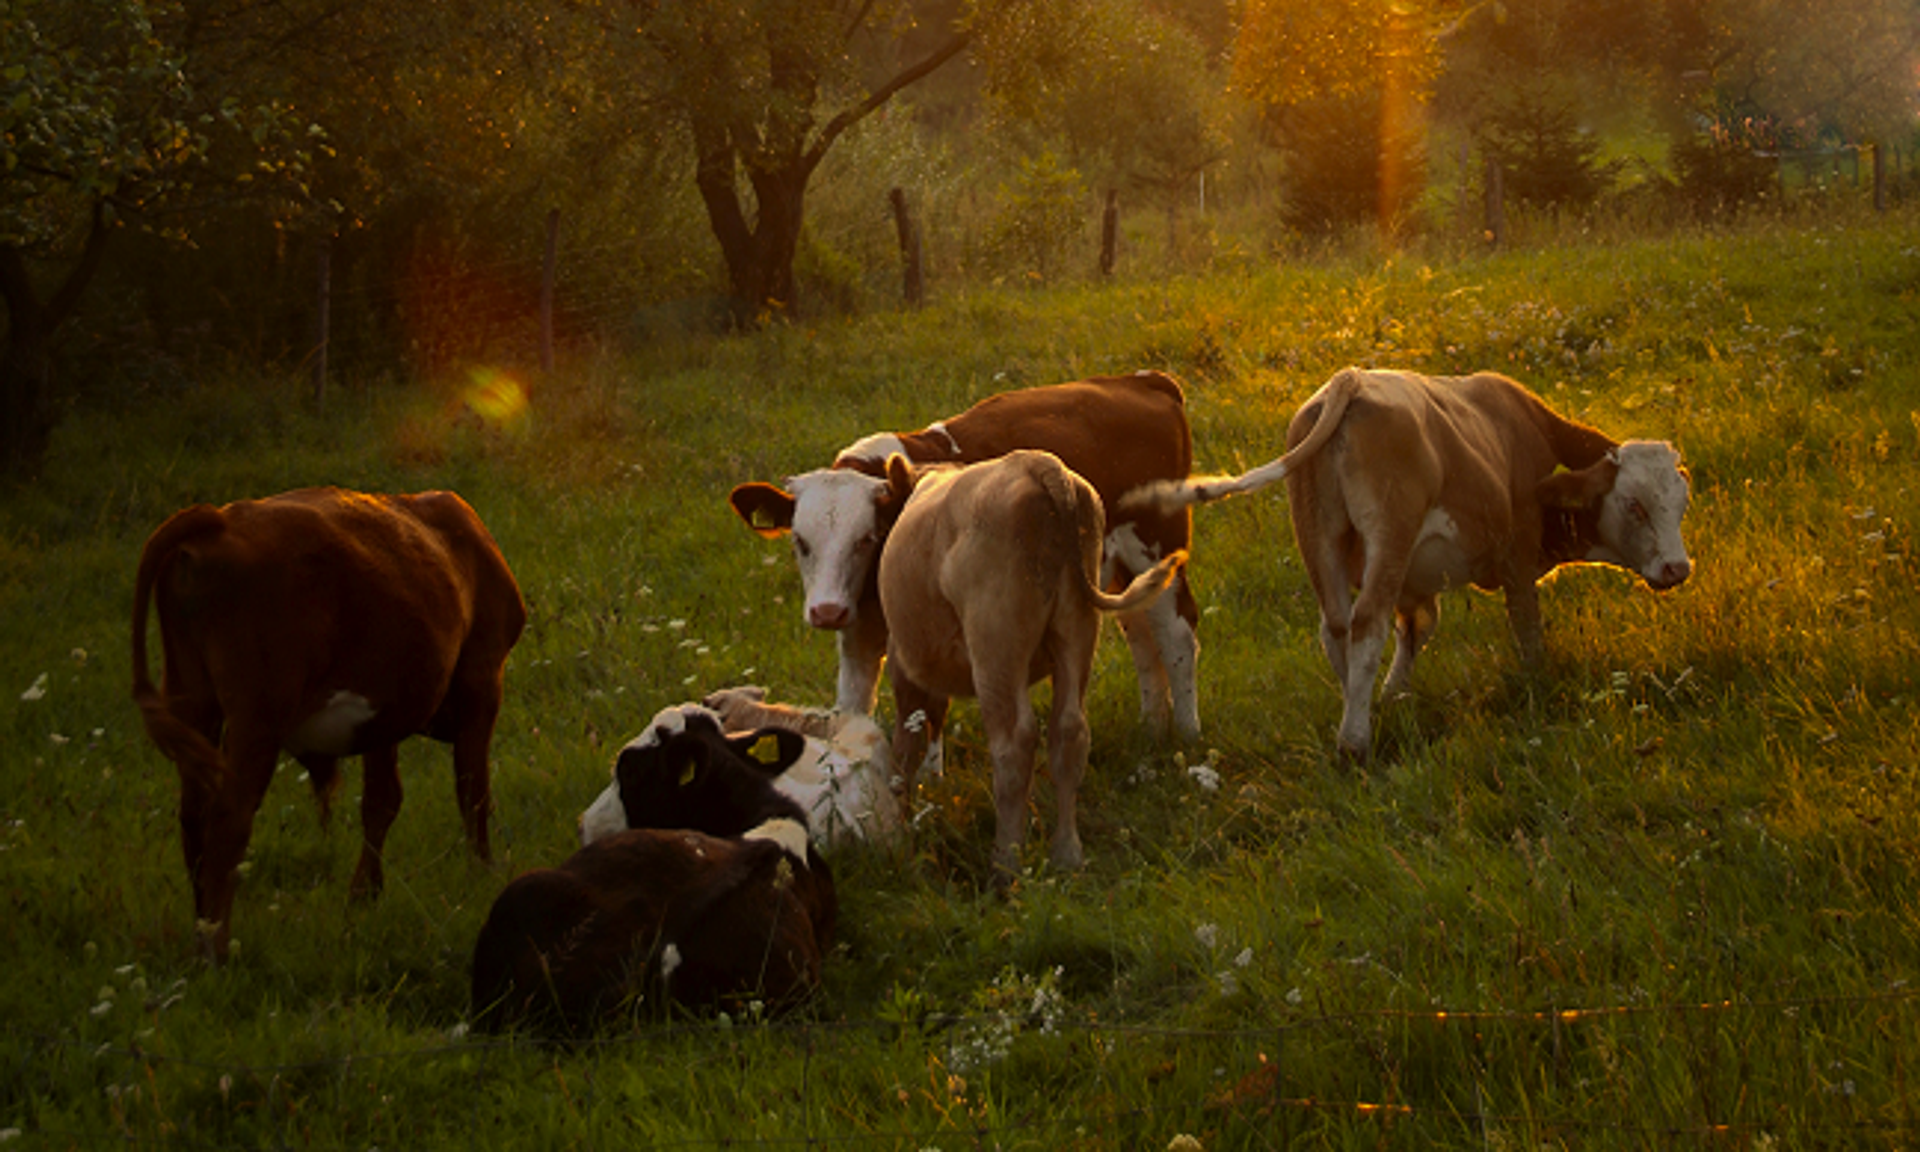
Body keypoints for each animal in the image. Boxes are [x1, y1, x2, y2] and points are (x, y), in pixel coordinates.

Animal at [130, 487, 526, 962]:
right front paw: (482, 874)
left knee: (193, 818)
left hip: (193, 699)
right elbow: (473, 790)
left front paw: (365, 895)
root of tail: (218, 521)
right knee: (228, 818)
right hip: (258, 713)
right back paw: (216, 948)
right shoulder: (481, 679)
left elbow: (382, 800)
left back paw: (199, 932)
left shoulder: (382, 714)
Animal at [727, 372, 1202, 775]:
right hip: (1119, 570)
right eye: (800, 541)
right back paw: (1153, 729)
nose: (826, 612)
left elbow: (930, 716)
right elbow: (853, 709)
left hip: (1157, 545)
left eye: (867, 537)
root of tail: (1144, 381)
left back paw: (1187, 735)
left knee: (1177, 633)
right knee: (1143, 635)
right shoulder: (858, 635)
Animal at [877, 449, 1187, 879]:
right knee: (1070, 731)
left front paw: (897, 834)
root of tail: (1036, 464)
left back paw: (1005, 863)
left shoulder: (906, 667)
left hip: (996, 644)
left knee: (1014, 743)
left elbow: (904, 751)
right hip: (1076, 630)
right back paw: (1067, 854)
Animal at [1129, 367, 1692, 759]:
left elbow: (1418, 627)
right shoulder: (1516, 554)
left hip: (1320, 535)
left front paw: (1393, 694)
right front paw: (1536, 682)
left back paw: (1353, 711)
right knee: (1366, 623)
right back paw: (1354, 742)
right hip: (1390, 531)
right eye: (1635, 505)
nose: (1677, 568)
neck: (1524, 429)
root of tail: (1351, 380)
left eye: (1682, 502)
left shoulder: (1415, 581)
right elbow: (1526, 628)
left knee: (1337, 627)